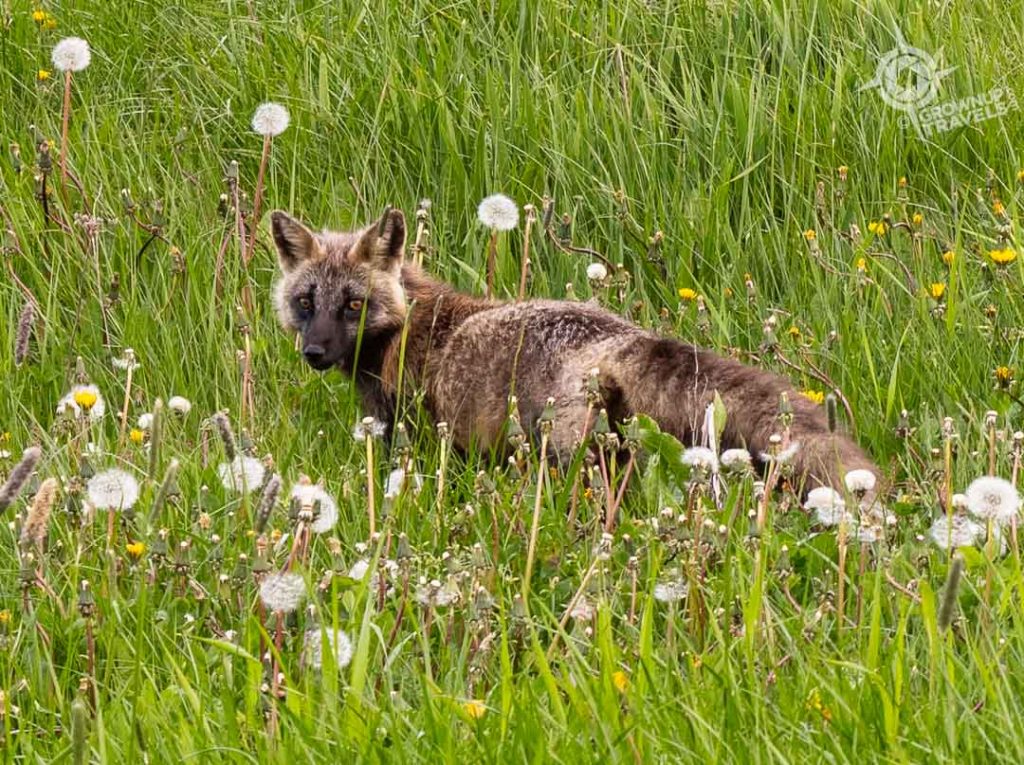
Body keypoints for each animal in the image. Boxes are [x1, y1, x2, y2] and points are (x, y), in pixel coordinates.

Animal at [271, 207, 880, 500]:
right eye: (306, 302)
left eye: (353, 305)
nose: (314, 352)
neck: (409, 324)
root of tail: (622, 336)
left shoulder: (411, 434)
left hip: (569, 458)